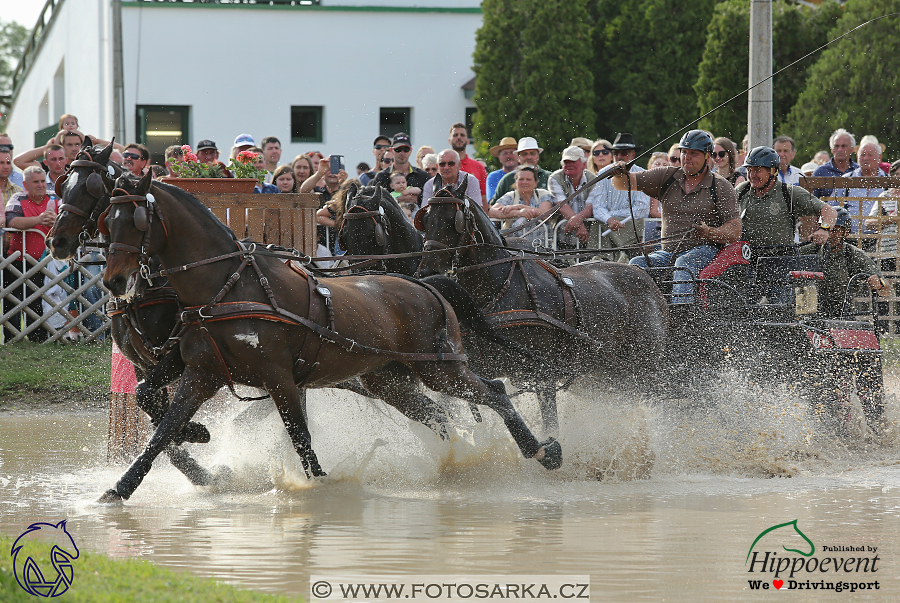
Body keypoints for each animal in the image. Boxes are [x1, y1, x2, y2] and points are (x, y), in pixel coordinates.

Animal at [96, 172, 564, 502]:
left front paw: (320, 485)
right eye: (108, 221)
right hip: (390, 381)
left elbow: (301, 438)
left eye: (137, 221)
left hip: (440, 369)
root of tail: (426, 283)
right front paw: (123, 486)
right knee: (439, 414)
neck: (227, 286)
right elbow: (159, 426)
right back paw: (453, 464)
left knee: (495, 392)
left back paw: (542, 450)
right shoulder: (201, 371)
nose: (115, 280)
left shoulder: (279, 378)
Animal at [414, 182, 668, 432]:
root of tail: (645, 276)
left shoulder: (542, 373)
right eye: (425, 220)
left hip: (645, 366)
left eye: (453, 220)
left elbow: (550, 425)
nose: (427, 272)